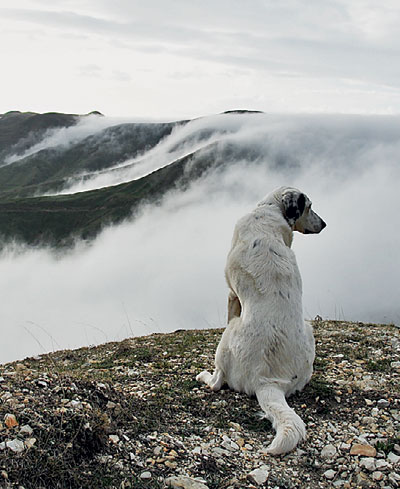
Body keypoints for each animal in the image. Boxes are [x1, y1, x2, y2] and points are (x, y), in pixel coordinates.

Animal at [196, 187, 324, 454]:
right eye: (310, 207)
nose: (325, 224)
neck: (271, 210)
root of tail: (268, 381)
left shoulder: (231, 294)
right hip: (309, 330)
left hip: (228, 337)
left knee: (216, 382)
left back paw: (204, 376)